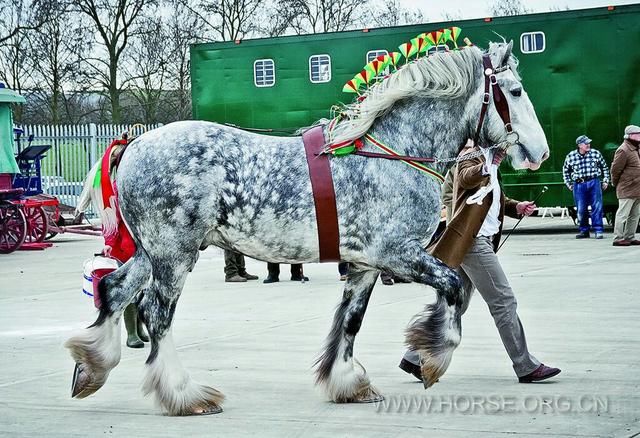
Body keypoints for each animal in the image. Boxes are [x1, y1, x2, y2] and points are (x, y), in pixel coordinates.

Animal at [66, 40, 552, 414]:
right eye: (515, 90)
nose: (539, 152)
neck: (392, 152)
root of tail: (134, 143)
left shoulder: (365, 265)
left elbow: (351, 321)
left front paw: (348, 383)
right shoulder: (398, 254)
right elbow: (453, 287)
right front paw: (432, 358)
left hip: (151, 253)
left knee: (114, 290)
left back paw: (91, 367)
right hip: (173, 255)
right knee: (156, 313)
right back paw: (184, 395)